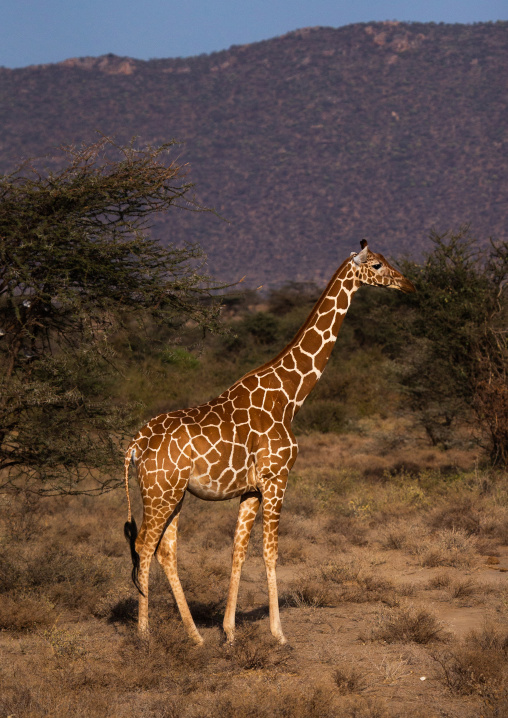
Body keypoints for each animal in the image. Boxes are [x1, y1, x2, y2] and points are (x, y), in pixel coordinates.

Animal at [124, 240, 415, 645]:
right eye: (376, 265)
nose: (409, 285)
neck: (289, 396)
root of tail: (134, 445)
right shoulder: (277, 479)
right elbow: (271, 552)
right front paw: (279, 634)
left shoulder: (251, 489)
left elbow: (239, 551)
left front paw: (229, 632)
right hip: (161, 491)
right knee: (144, 546)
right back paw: (144, 635)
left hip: (172, 493)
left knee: (165, 551)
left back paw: (196, 637)